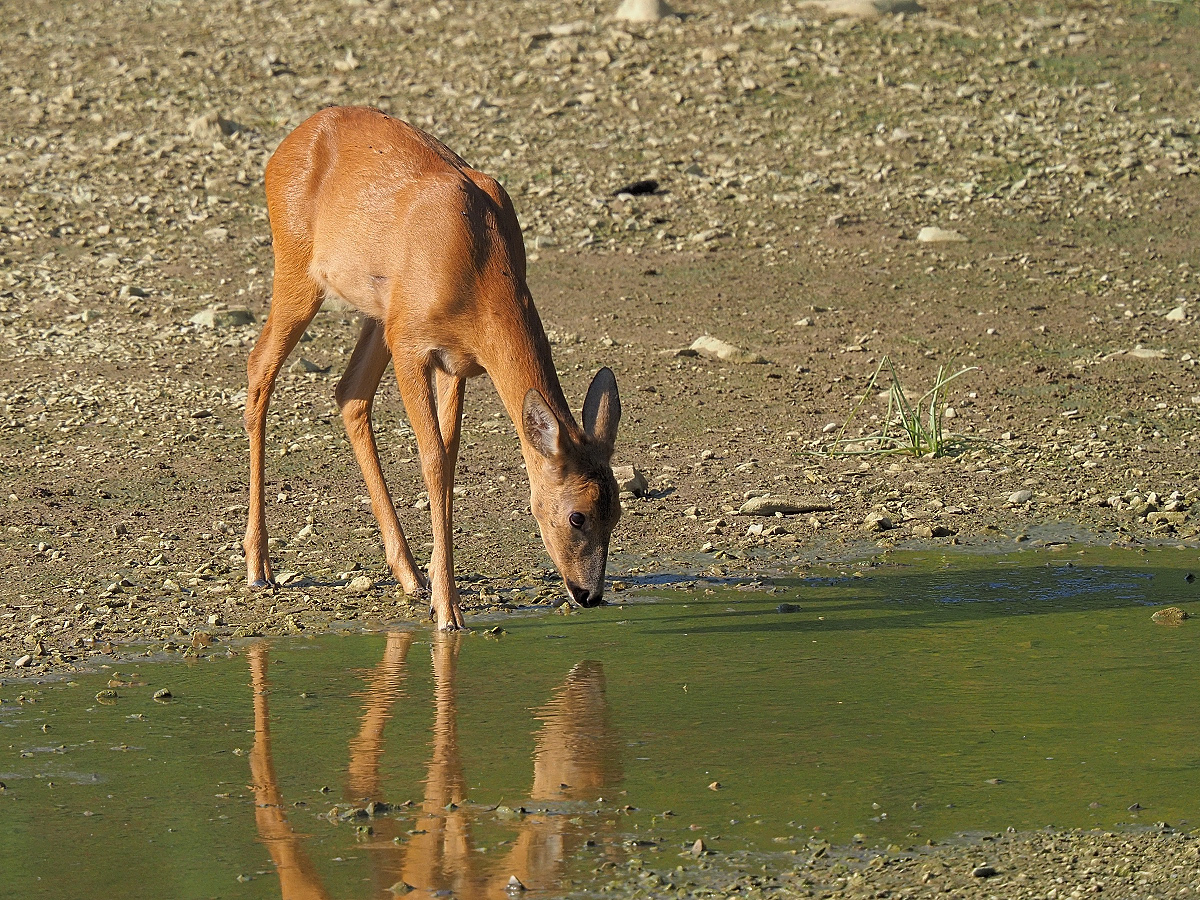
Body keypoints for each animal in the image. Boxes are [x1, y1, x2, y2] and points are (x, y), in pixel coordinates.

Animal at [240, 105, 624, 628]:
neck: (479, 261)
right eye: (577, 515)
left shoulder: (455, 362)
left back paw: (408, 574)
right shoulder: (411, 346)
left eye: (618, 510)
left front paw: (440, 593)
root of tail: (285, 147)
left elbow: (449, 456)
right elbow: (433, 461)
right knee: (260, 369)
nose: (589, 594)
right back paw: (258, 565)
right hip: (300, 270)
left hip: (377, 311)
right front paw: (449, 611)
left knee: (349, 392)